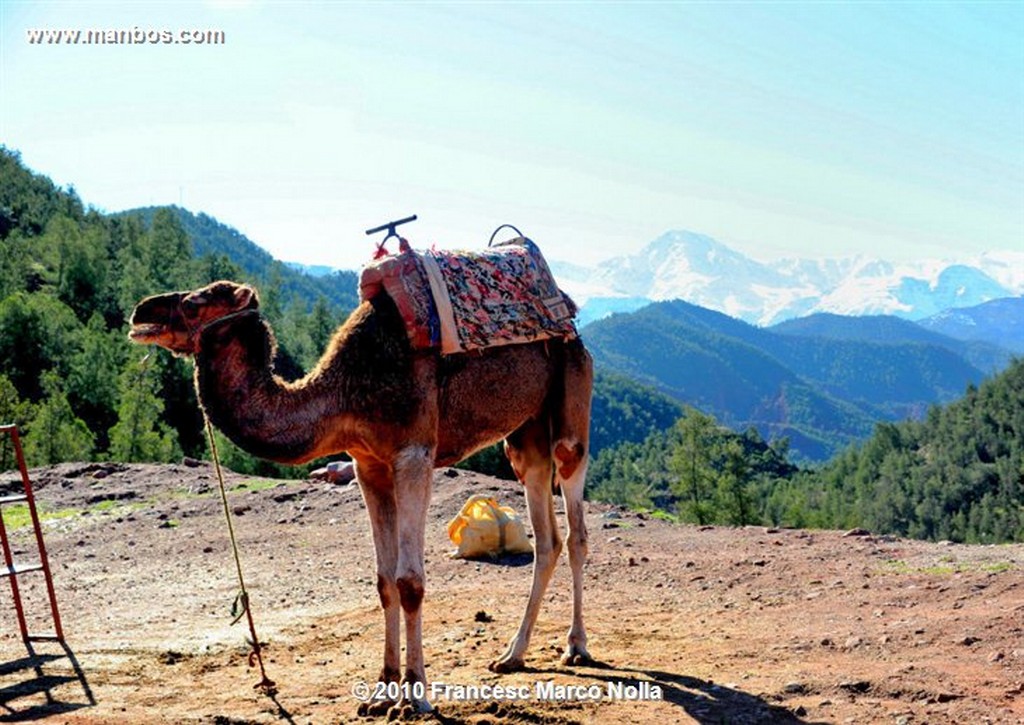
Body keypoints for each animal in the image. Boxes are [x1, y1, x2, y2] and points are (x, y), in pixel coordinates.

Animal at [130, 278, 593, 712]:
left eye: (195, 302)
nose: (140, 312)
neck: (346, 392)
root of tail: (572, 324)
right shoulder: (368, 464)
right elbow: (385, 582)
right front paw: (382, 694)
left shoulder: (414, 455)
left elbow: (410, 581)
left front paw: (416, 697)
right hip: (525, 433)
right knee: (546, 538)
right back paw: (512, 655)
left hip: (571, 402)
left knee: (575, 527)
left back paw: (575, 647)